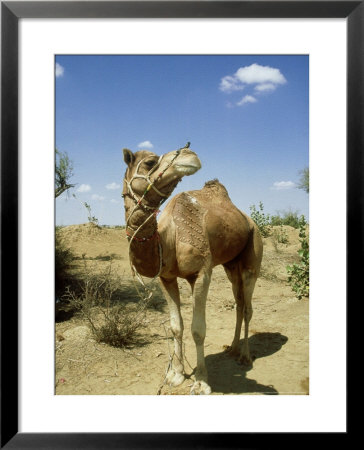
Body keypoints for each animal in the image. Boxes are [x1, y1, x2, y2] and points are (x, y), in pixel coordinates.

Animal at [122, 145, 262, 394]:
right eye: (150, 162)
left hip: (253, 252)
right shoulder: (166, 278)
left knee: (247, 307)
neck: (168, 238)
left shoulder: (202, 274)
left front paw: (201, 381)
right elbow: (176, 326)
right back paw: (232, 348)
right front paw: (176, 374)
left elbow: (198, 330)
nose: (190, 153)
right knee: (238, 302)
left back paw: (245, 356)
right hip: (230, 266)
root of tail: (249, 220)